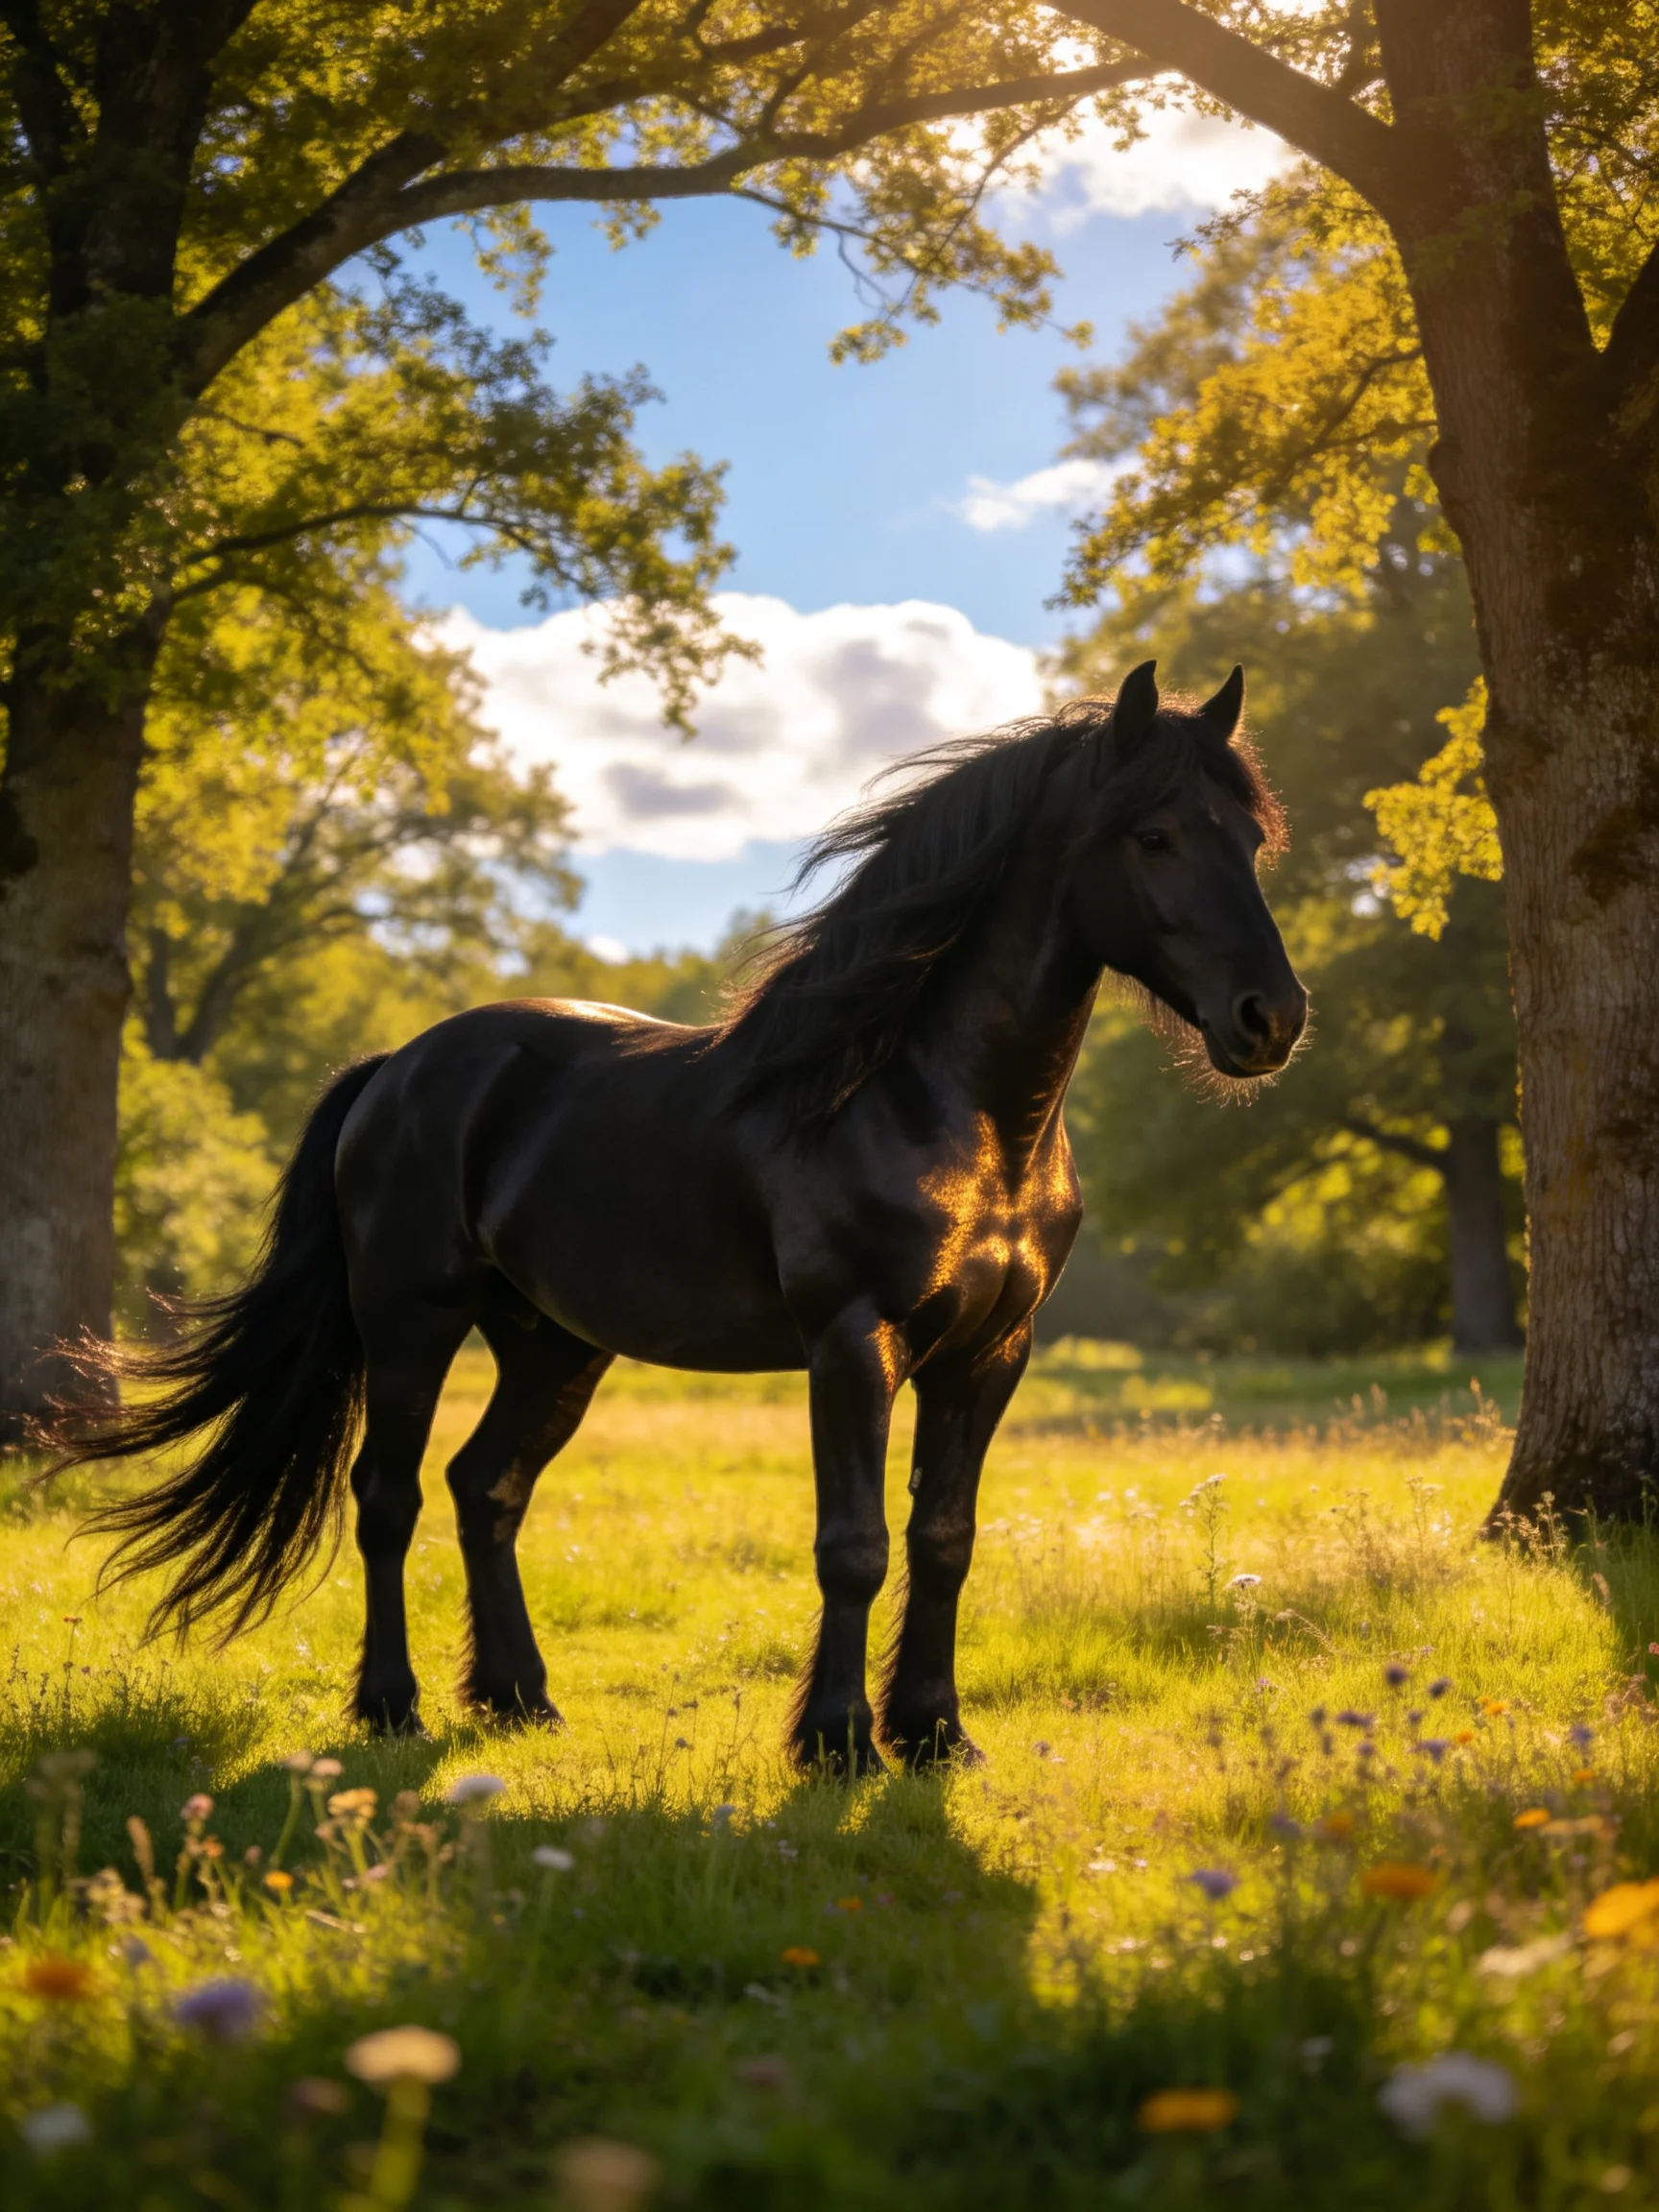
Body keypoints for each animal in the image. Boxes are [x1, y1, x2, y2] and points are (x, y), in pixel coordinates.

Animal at [57, 660, 1306, 1773]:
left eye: (1249, 841)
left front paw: (936, 1735)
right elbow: (854, 1547)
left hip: (553, 1346)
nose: (1272, 1018)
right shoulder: (853, 1342)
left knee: (485, 1489)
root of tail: (396, 1068)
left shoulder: (991, 1352)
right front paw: (839, 1742)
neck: (933, 1102)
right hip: (412, 1324)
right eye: (1154, 836)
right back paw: (392, 1707)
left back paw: (518, 1699)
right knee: (388, 1497)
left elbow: (944, 1541)